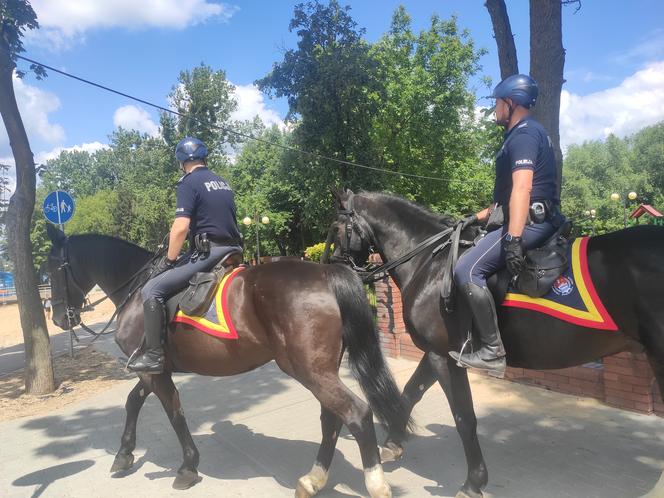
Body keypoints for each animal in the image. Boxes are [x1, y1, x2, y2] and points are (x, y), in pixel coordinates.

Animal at [45, 226, 410, 498]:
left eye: (50, 270)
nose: (60, 318)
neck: (139, 291)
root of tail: (325, 272)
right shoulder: (153, 369)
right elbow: (134, 401)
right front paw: (124, 455)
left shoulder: (154, 372)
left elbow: (173, 413)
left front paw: (188, 467)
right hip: (320, 370)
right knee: (332, 417)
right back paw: (313, 480)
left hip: (310, 370)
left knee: (356, 414)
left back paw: (375, 484)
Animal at [332, 190, 664, 498]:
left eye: (336, 227)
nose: (330, 265)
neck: (430, 265)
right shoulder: (438, 352)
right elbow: (411, 392)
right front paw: (393, 442)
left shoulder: (444, 358)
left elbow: (464, 417)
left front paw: (473, 482)